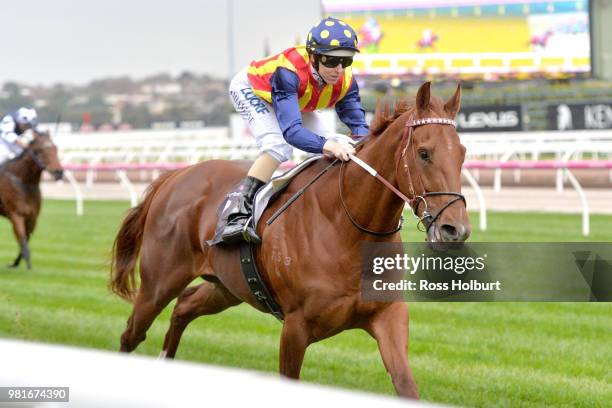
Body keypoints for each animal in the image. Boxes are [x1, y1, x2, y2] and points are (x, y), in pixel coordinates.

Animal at [0, 131, 63, 270]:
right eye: (40, 150)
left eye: (56, 148)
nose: (59, 172)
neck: (25, 182)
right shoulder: (16, 215)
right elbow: (22, 239)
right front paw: (28, 266)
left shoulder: (32, 218)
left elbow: (26, 239)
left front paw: (15, 263)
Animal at [110, 82, 470, 398]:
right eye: (424, 153)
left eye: (463, 153)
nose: (456, 230)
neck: (346, 228)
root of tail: (177, 175)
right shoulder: (296, 327)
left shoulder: (388, 316)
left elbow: (406, 386)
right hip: (159, 283)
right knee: (132, 332)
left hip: (226, 287)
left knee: (184, 306)